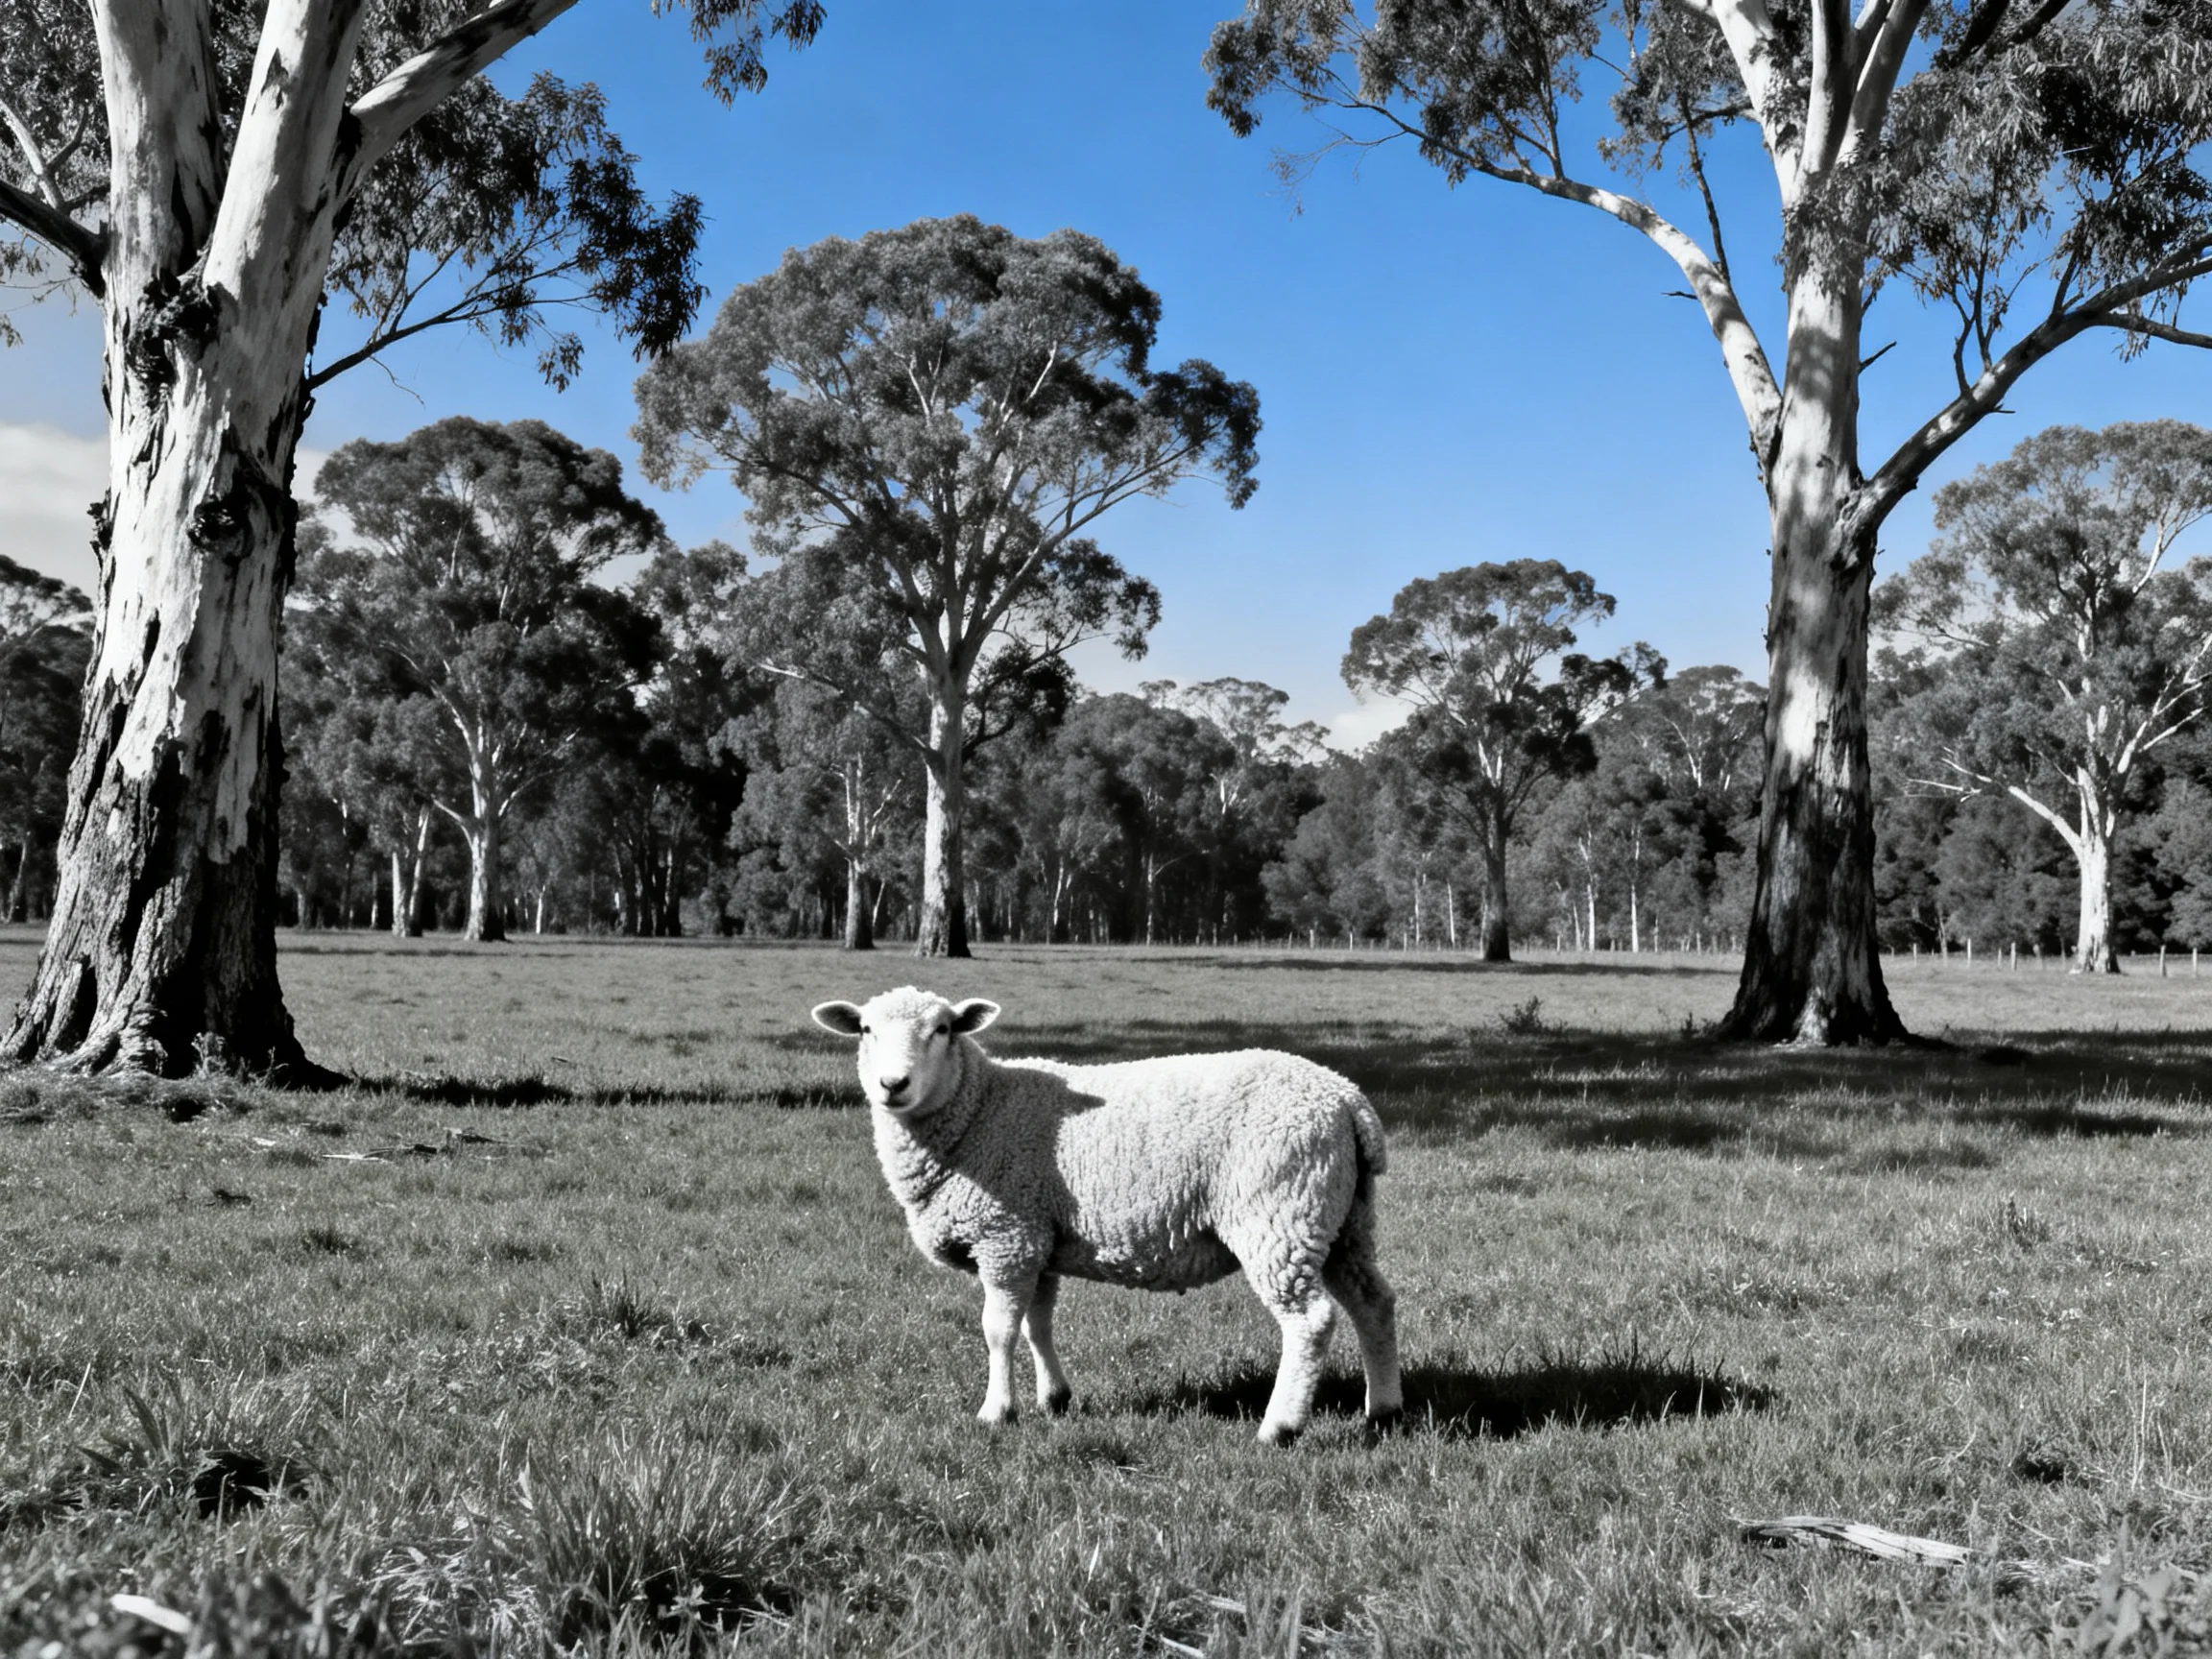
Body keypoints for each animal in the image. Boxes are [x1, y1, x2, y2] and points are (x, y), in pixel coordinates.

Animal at [810, 985, 1401, 1446]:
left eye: (943, 1029)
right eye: (865, 1029)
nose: (893, 1085)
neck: (980, 1109)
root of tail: (1348, 1100)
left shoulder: (1006, 1236)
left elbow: (998, 1330)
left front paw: (996, 1411)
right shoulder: (1037, 1237)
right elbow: (1037, 1325)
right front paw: (1054, 1398)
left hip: (1278, 1214)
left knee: (1310, 1321)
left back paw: (1280, 1428)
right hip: (1342, 1219)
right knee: (1374, 1303)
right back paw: (1384, 1410)